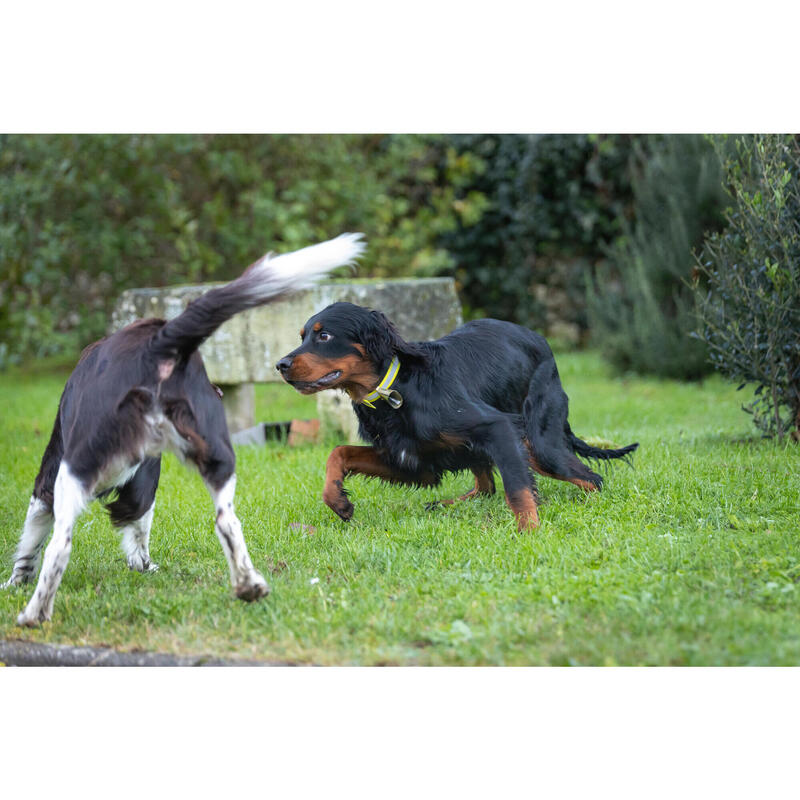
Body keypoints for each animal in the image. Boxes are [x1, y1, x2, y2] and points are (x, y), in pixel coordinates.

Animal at [2, 231, 366, 624]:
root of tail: (158, 343)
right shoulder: (145, 480)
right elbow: (138, 527)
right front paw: (143, 565)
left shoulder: (49, 481)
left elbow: (32, 540)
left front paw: (15, 583)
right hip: (217, 454)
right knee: (226, 522)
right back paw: (249, 585)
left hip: (76, 466)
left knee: (60, 545)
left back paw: (34, 613)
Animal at [278, 304, 640, 536]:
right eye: (303, 336)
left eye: (324, 337)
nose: (281, 365)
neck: (396, 388)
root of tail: (541, 341)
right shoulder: (411, 459)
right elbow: (338, 452)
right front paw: (337, 499)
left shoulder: (498, 428)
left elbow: (517, 487)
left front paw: (529, 530)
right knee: (485, 487)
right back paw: (446, 504)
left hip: (540, 445)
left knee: (591, 479)